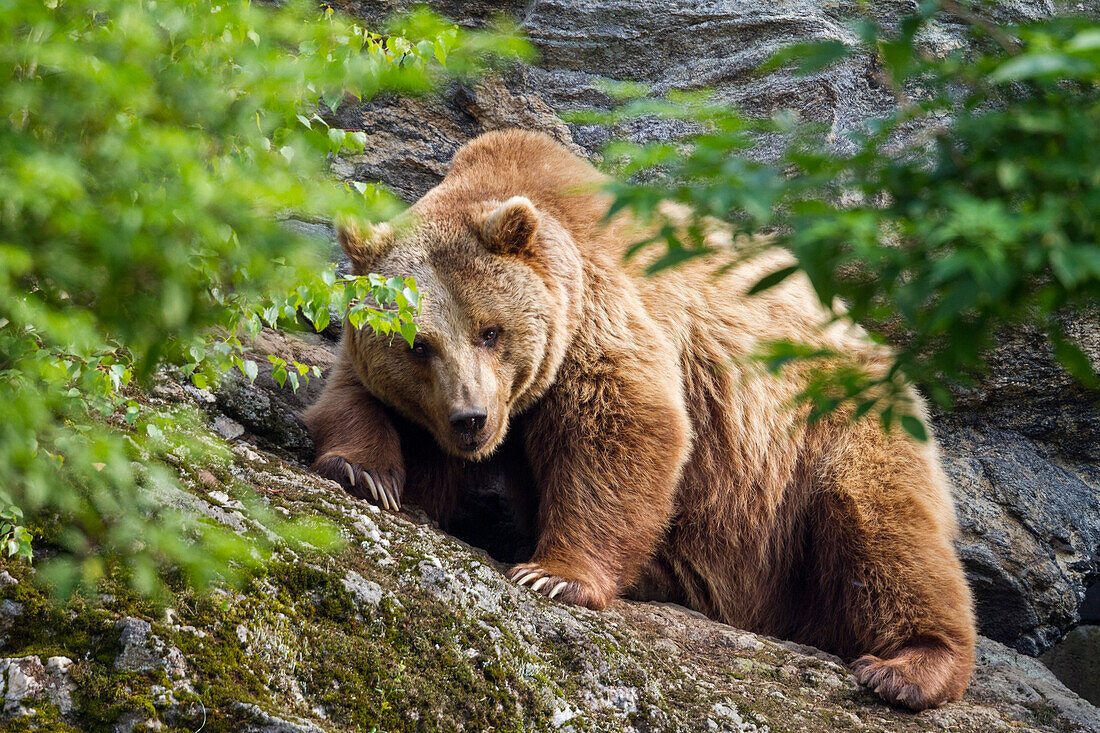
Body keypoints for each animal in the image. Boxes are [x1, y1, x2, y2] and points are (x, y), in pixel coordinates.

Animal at [305, 127, 976, 708]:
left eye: (490, 331)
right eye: (419, 344)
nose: (470, 418)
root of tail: (882, 350)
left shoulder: (597, 314)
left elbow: (623, 427)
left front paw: (552, 576)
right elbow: (355, 402)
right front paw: (367, 474)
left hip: (830, 432)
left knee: (882, 530)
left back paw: (908, 666)